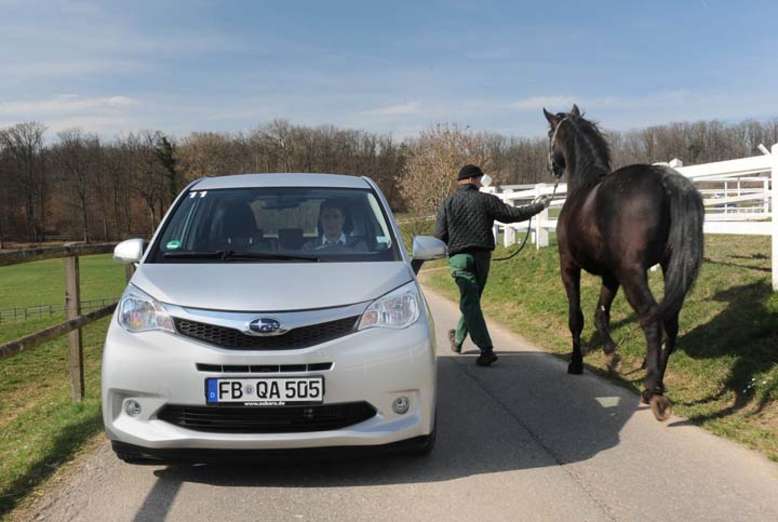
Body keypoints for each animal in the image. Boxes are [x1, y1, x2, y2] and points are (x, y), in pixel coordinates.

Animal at [540, 104, 704, 418]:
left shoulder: (569, 267)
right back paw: (655, 383)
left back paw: (653, 392)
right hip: (667, 268)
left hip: (633, 275)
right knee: (670, 323)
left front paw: (576, 363)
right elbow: (601, 313)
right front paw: (611, 354)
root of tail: (665, 180)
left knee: (652, 321)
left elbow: (577, 318)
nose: (552, 166)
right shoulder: (610, 275)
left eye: (549, 132)